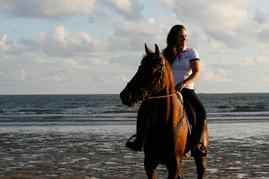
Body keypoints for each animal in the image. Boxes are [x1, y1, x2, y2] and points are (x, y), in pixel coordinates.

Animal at [119, 43, 207, 179]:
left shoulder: (174, 164)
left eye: (151, 71)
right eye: (139, 68)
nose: (125, 96)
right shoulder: (149, 163)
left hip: (200, 159)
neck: (164, 121)